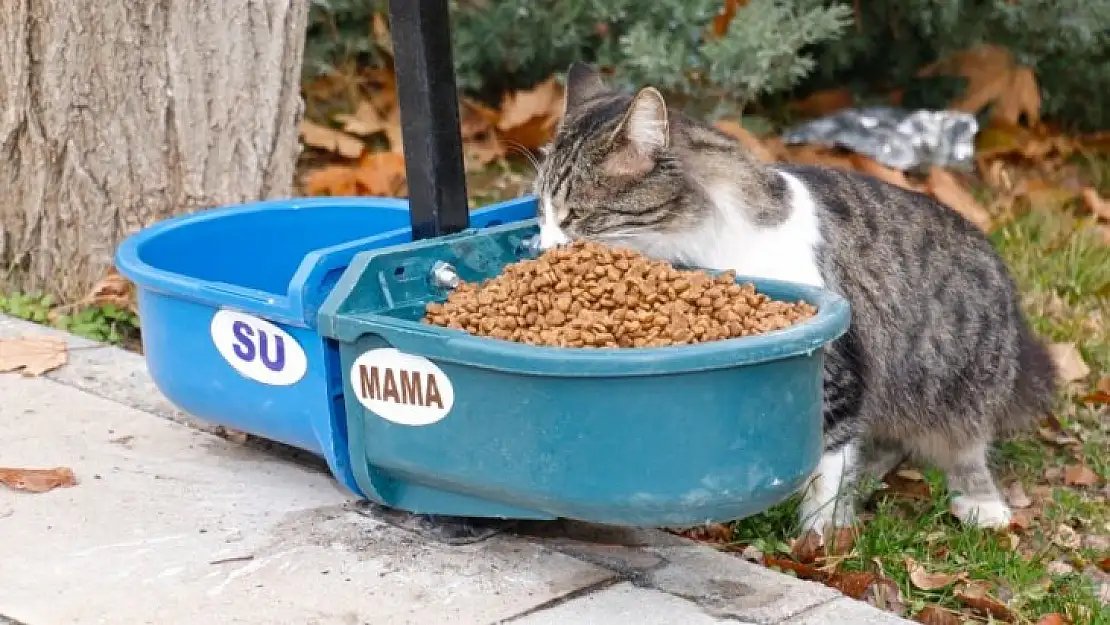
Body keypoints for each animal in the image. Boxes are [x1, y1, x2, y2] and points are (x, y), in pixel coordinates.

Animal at [532, 62, 1052, 532]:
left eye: (575, 215)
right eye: (539, 209)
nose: (542, 248)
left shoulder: (841, 371)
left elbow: (827, 467)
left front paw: (820, 541)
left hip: (961, 382)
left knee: (966, 444)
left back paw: (982, 505)